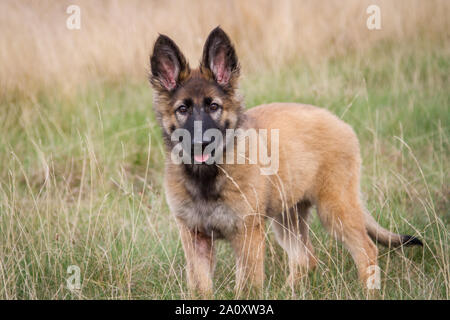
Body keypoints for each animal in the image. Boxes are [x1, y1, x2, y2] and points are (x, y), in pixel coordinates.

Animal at [149, 26, 422, 296]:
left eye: (213, 106)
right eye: (182, 109)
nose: (200, 143)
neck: (206, 176)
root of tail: (339, 122)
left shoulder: (247, 234)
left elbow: (246, 287)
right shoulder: (195, 238)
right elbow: (201, 286)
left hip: (335, 209)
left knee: (366, 250)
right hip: (288, 217)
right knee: (305, 258)